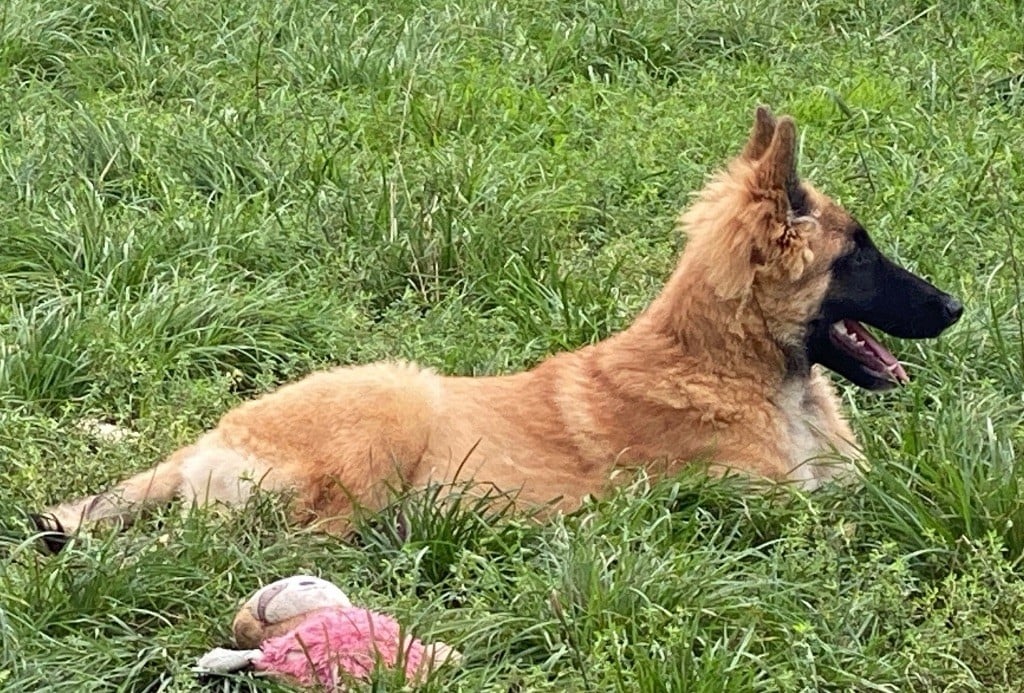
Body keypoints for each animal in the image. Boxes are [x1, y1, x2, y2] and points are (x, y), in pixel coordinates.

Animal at [32, 107, 963, 553]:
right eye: (861, 252)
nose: (956, 307)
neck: (733, 364)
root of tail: (206, 441)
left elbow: (906, 489)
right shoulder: (765, 506)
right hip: (393, 399)